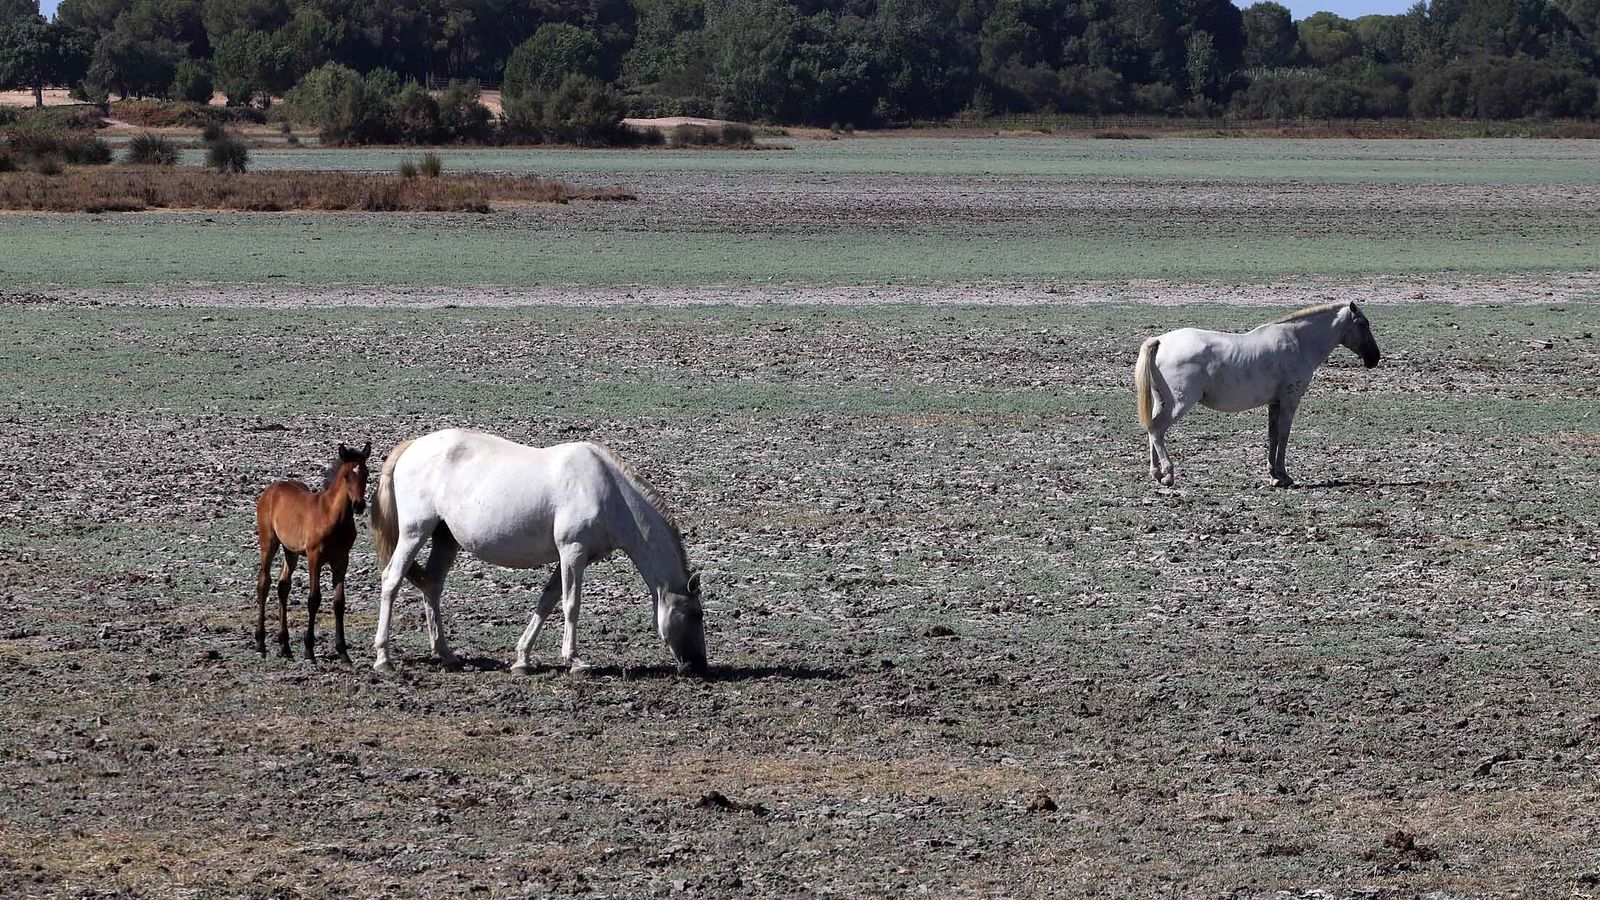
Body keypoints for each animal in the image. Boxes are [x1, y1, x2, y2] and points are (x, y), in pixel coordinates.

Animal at [254, 442, 371, 660]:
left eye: (366, 473)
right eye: (346, 475)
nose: (359, 505)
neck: (333, 517)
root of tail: (271, 489)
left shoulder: (341, 560)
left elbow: (339, 602)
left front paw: (343, 652)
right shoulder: (314, 557)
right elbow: (313, 599)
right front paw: (309, 650)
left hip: (290, 550)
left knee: (283, 586)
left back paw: (285, 646)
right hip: (268, 542)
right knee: (264, 582)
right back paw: (260, 643)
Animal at [368, 429, 708, 676]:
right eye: (696, 614)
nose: (697, 667)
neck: (608, 492)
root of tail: (411, 447)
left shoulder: (571, 558)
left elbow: (547, 602)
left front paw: (522, 660)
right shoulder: (573, 552)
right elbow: (571, 605)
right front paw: (575, 661)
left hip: (445, 539)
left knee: (432, 586)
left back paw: (446, 654)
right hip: (414, 532)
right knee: (391, 580)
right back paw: (384, 659)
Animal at [1133, 301, 1381, 488]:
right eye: (1363, 323)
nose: (1374, 358)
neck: (1297, 342)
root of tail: (1161, 341)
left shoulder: (1275, 403)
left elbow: (1272, 436)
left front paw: (1274, 475)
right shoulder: (1290, 401)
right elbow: (1283, 436)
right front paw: (1283, 476)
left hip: (1161, 402)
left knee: (1152, 430)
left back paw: (1157, 473)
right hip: (1178, 404)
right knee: (1157, 430)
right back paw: (1168, 474)